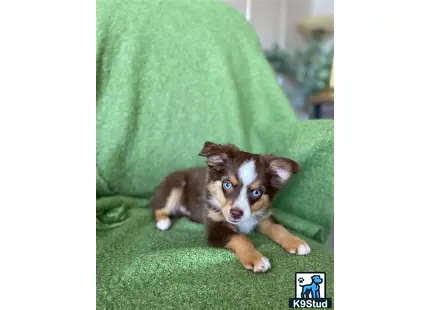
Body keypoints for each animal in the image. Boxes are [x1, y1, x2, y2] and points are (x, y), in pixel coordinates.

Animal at [151, 142, 310, 272]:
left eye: (256, 192)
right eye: (227, 184)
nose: (236, 213)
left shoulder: (263, 216)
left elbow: (278, 227)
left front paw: (296, 241)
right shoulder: (214, 226)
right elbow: (239, 237)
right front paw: (256, 258)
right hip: (175, 185)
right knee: (158, 208)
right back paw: (163, 222)